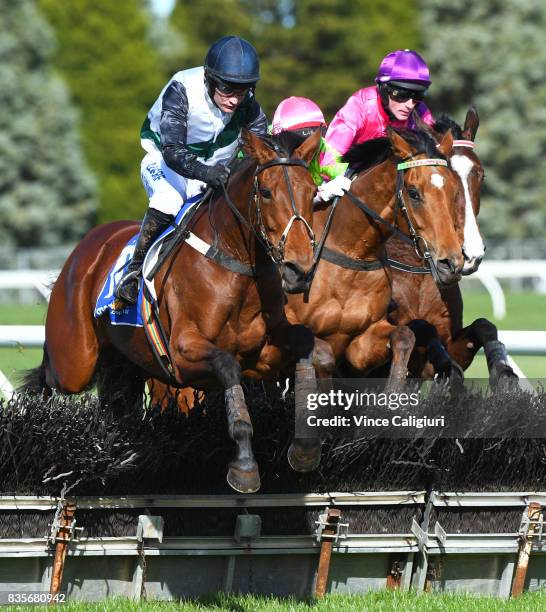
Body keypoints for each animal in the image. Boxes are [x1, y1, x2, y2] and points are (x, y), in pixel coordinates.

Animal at [24, 129, 324, 492]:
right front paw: (244, 465)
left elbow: (306, 343)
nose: (299, 270)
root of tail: (86, 245)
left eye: (313, 192)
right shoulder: (183, 353)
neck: (234, 263)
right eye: (266, 192)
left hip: (123, 362)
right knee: (48, 378)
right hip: (75, 362)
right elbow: (227, 367)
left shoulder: (262, 353)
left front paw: (306, 448)